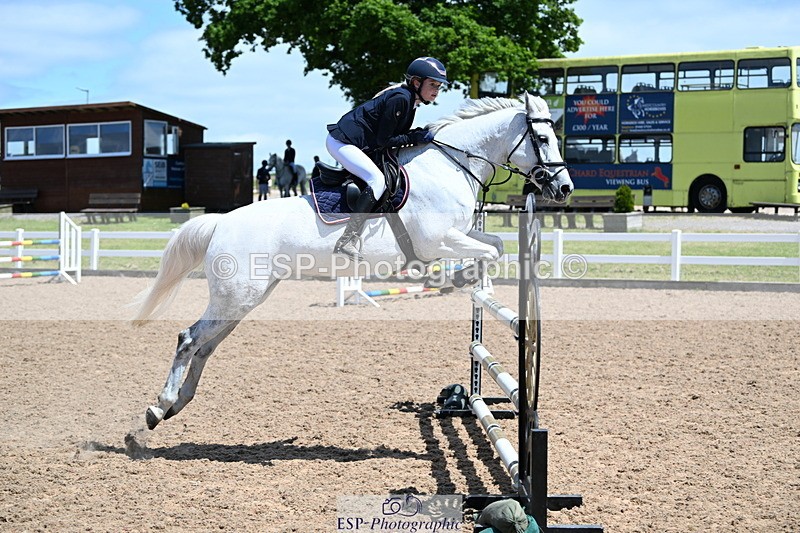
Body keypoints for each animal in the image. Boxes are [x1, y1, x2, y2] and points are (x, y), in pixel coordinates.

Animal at [133, 92, 573, 431]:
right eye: (543, 138)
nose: (565, 188)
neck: (450, 164)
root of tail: (221, 221)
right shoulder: (438, 240)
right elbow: (489, 251)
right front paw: (464, 276)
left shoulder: (459, 235)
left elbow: (495, 245)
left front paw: (469, 279)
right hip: (235, 296)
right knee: (189, 339)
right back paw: (158, 407)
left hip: (245, 299)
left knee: (205, 347)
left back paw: (177, 404)